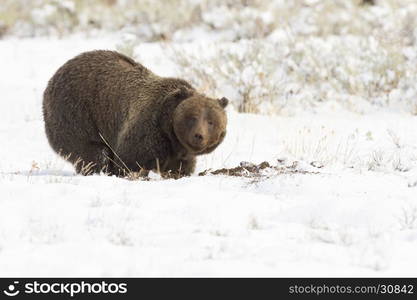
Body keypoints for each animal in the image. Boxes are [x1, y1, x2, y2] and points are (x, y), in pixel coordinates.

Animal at [42, 49, 228, 176]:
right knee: (92, 152)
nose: (199, 135)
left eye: (211, 121)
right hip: (75, 112)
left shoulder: (180, 153)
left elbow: (180, 168)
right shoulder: (147, 129)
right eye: (192, 118)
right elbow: (130, 160)